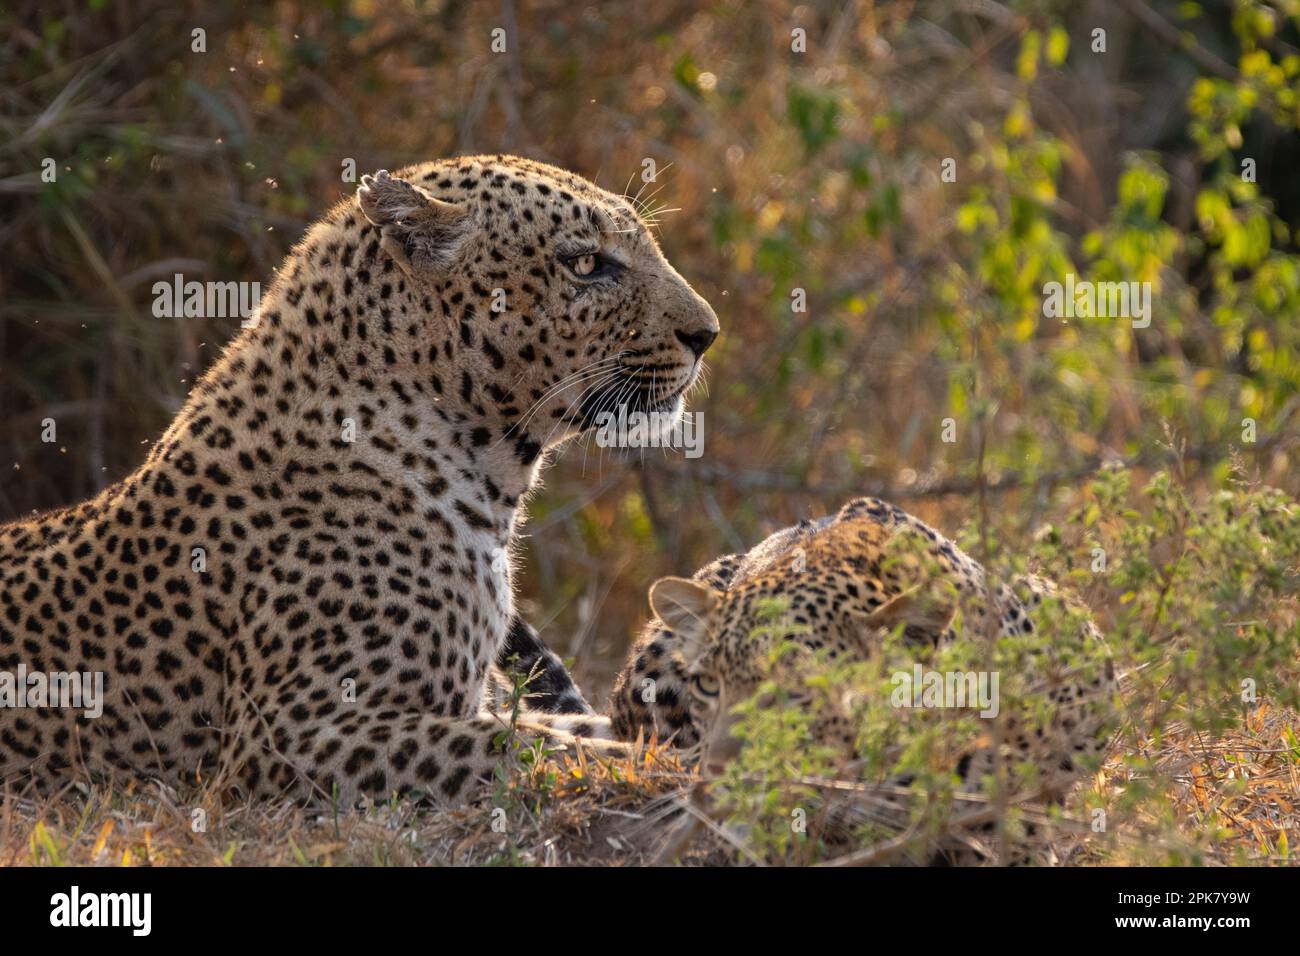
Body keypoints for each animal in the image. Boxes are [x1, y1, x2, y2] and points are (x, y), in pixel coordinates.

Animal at [0, 157, 717, 806]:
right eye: (586, 264)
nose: (707, 333)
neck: (486, 476)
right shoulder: (287, 736)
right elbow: (527, 747)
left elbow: (584, 726)